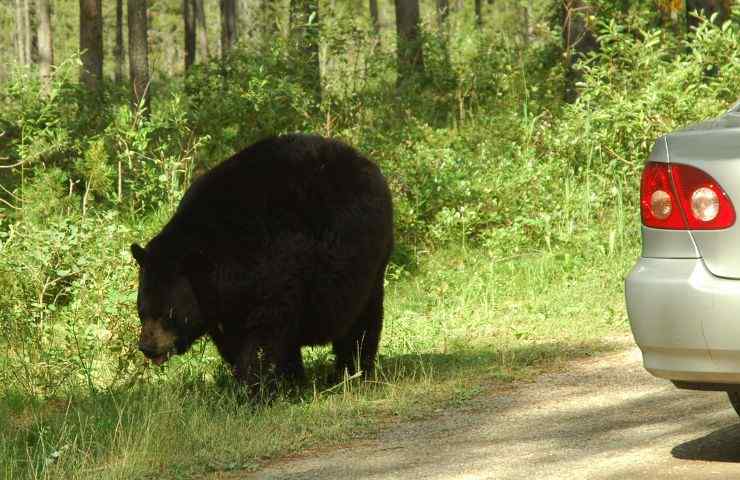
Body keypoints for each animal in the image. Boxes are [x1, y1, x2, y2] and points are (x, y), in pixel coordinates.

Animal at [129, 132, 394, 390]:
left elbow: (264, 335)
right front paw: (289, 381)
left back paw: (353, 373)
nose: (147, 347)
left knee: (361, 320)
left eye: (166, 313)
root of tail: (369, 163)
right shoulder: (224, 303)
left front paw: (253, 387)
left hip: (369, 258)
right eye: (142, 311)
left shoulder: (274, 266)